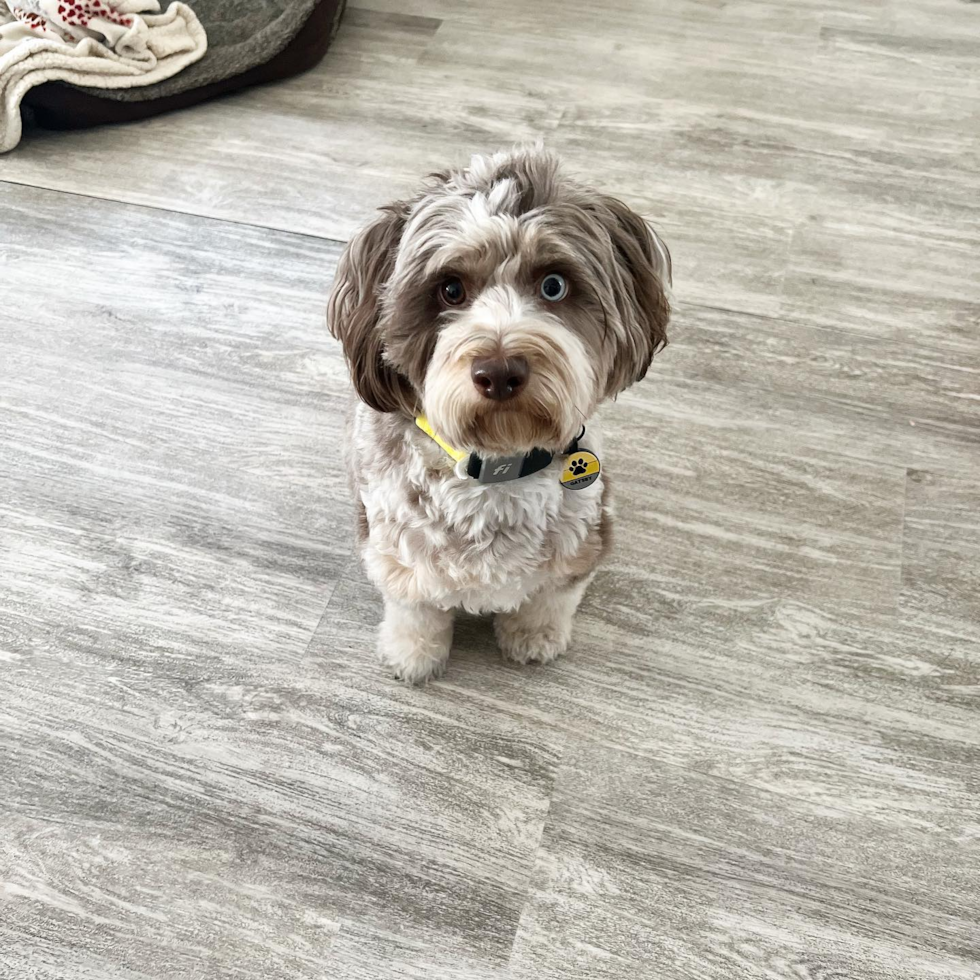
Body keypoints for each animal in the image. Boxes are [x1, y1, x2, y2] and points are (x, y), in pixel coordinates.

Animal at [326, 147, 668, 680]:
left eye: (553, 285)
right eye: (449, 289)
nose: (500, 371)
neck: (498, 467)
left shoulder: (581, 543)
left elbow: (548, 600)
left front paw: (534, 638)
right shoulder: (399, 551)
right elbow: (415, 611)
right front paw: (413, 656)